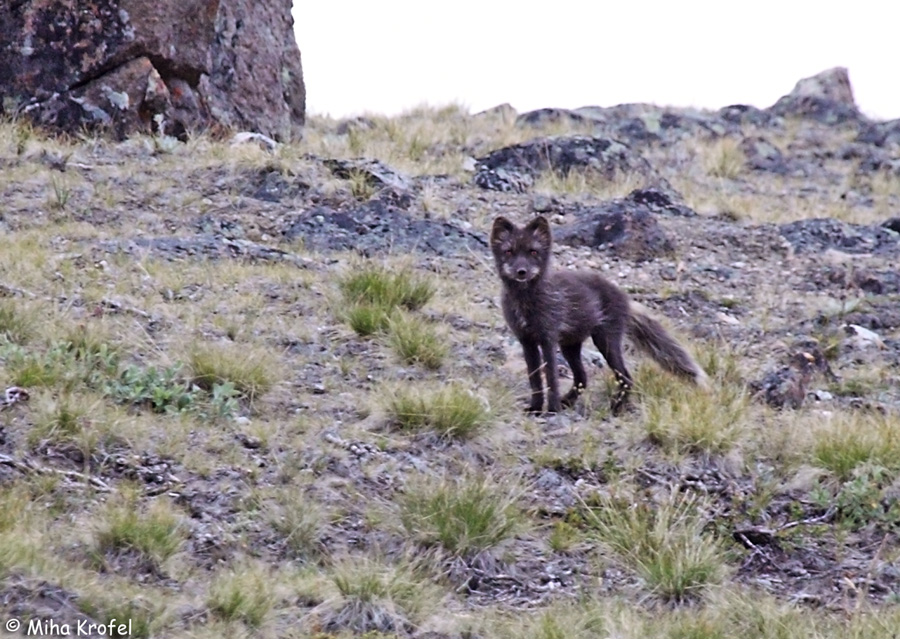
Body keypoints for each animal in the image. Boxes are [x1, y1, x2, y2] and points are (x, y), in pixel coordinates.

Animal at [492, 215, 712, 416]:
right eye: (509, 251)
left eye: (533, 252)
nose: (521, 272)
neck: (526, 303)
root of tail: (625, 298)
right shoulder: (526, 340)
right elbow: (535, 379)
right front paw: (536, 409)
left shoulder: (548, 337)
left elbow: (552, 378)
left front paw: (552, 410)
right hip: (570, 345)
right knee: (583, 378)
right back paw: (570, 402)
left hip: (605, 340)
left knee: (626, 377)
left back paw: (615, 407)